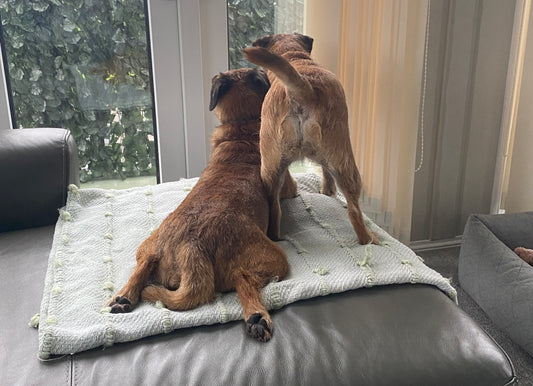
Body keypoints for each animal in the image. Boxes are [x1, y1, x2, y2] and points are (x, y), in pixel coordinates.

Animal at [106, 68, 288, 340]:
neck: (241, 126)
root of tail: (191, 246)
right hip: (275, 259)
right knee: (242, 277)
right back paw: (257, 317)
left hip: (148, 243)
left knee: (145, 262)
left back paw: (124, 296)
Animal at [243, 33, 376, 244]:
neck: (295, 58)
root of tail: (303, 87)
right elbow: (328, 178)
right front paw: (328, 191)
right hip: (346, 164)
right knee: (355, 213)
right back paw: (370, 239)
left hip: (270, 169)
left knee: (275, 212)